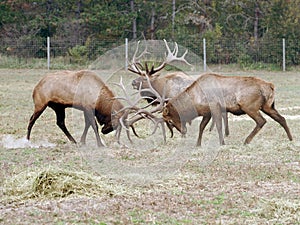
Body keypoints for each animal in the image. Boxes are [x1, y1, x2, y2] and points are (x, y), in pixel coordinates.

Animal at [163, 72, 292, 146]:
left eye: (170, 120)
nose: (183, 131)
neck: (196, 99)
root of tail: (270, 86)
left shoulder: (215, 106)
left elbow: (219, 126)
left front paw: (222, 143)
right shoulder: (207, 112)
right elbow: (202, 126)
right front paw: (198, 144)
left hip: (249, 106)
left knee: (261, 121)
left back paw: (246, 141)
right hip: (268, 106)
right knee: (281, 118)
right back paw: (290, 138)